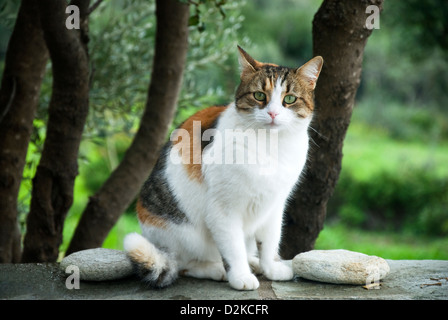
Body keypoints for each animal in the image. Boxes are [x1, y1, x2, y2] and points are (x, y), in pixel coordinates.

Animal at [124, 46, 324, 292]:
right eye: (259, 96)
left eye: (289, 99)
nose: (273, 114)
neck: (270, 145)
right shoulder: (223, 209)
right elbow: (233, 248)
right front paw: (240, 276)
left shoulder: (275, 205)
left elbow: (270, 241)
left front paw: (270, 268)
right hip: (181, 233)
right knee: (183, 264)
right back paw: (218, 269)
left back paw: (253, 262)